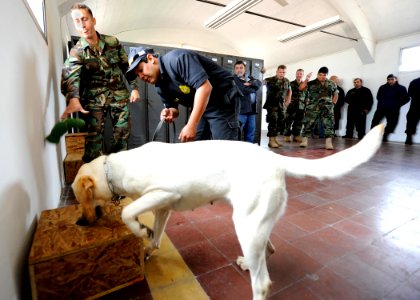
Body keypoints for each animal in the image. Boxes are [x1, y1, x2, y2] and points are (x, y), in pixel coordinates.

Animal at [73, 123, 384, 298]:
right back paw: (248, 262)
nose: (79, 223)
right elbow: (156, 235)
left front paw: (138, 228)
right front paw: (147, 244)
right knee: (268, 250)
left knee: (262, 284)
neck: (114, 168)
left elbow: (128, 213)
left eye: (78, 198)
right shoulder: (162, 208)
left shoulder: (164, 193)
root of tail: (274, 159)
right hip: (255, 223)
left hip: (245, 224)